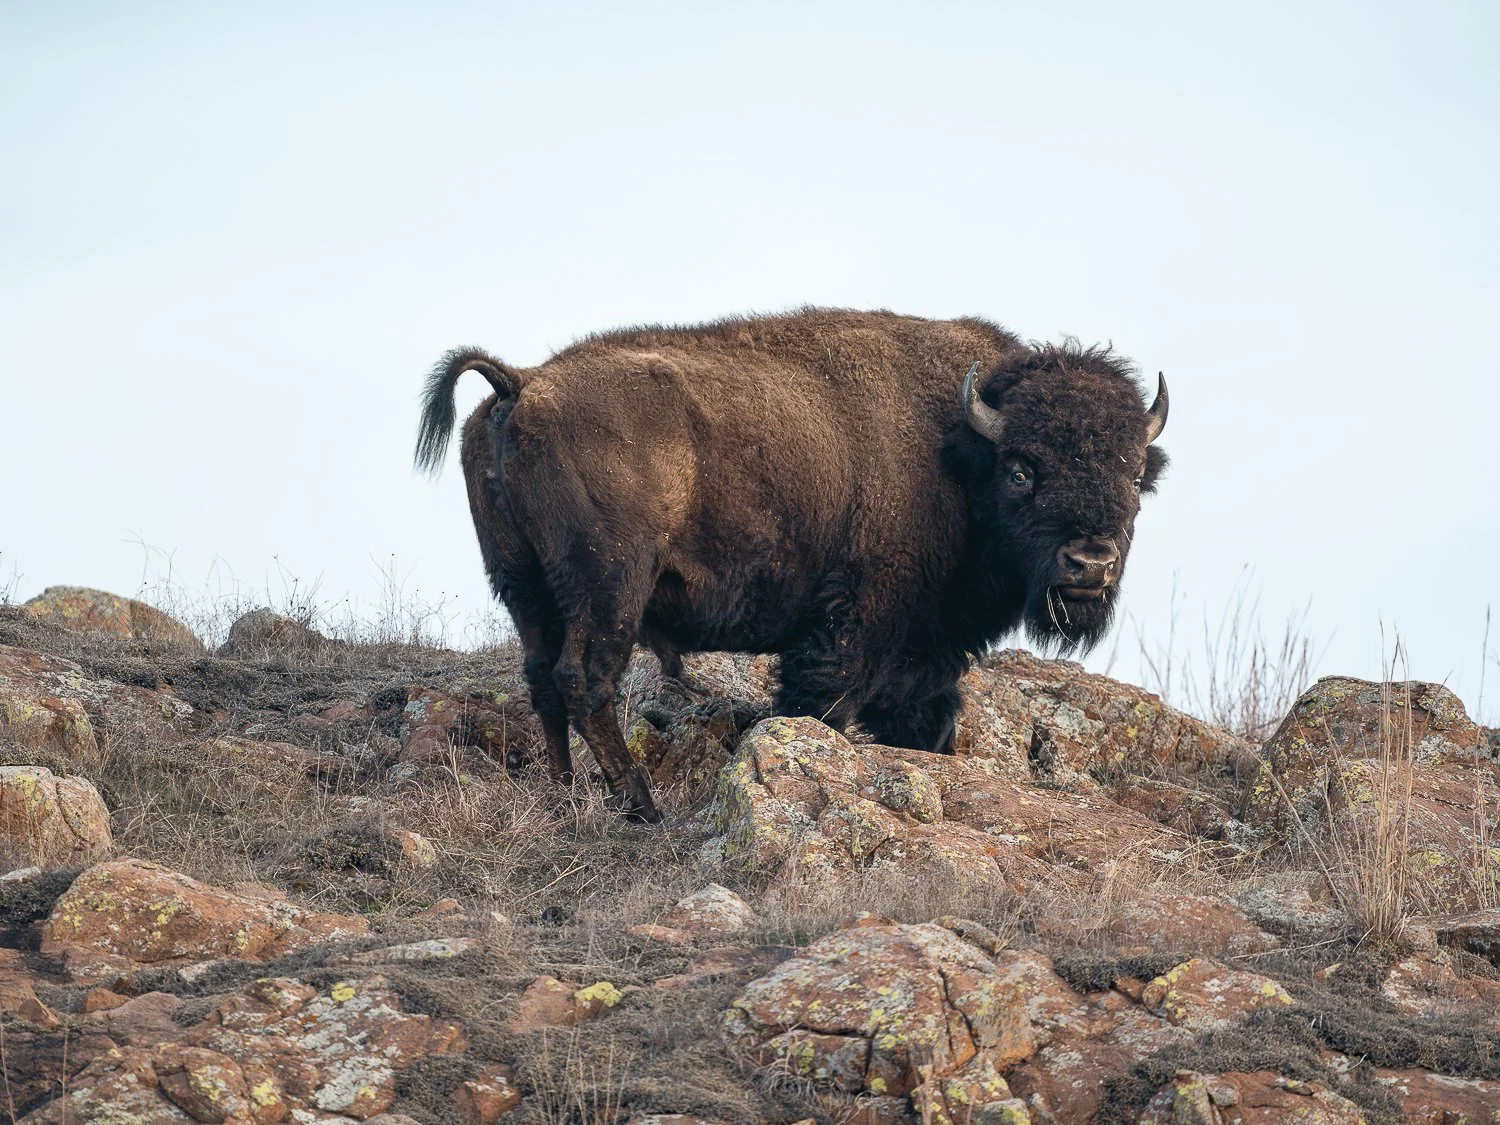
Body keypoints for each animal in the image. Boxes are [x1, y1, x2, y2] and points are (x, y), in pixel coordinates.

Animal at [415, 308, 1168, 822]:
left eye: (1134, 474)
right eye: (1021, 469)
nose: (1090, 562)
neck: (958, 450)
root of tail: (521, 385)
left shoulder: (927, 652)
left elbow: (928, 719)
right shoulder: (853, 627)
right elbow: (823, 703)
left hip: (523, 587)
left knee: (542, 680)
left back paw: (564, 794)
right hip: (609, 587)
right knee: (584, 681)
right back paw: (641, 807)